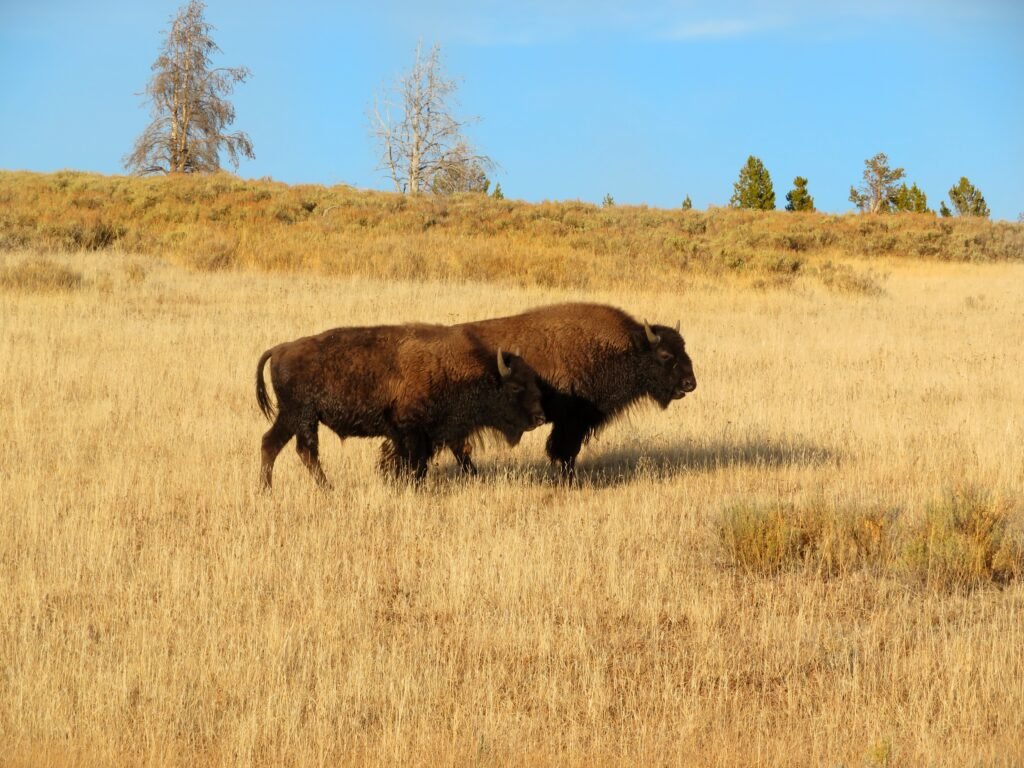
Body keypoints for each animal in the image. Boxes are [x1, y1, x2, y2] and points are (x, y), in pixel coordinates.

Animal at [256, 323, 545, 488]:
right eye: (515, 387)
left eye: (533, 381)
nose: (539, 418)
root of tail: (281, 349)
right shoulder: (412, 431)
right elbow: (415, 462)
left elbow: (456, 454)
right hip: (302, 416)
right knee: (305, 450)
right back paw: (326, 489)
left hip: (291, 416)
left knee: (272, 443)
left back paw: (267, 490)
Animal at [451, 303, 696, 479]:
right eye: (665, 354)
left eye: (683, 348)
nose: (690, 383)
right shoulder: (571, 421)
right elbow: (565, 450)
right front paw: (568, 480)